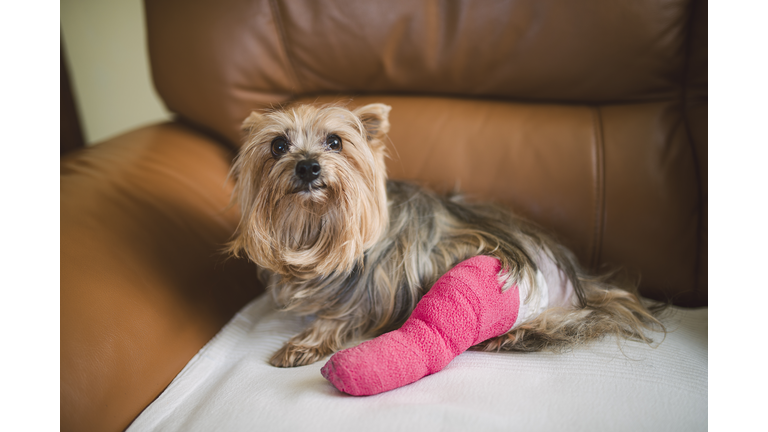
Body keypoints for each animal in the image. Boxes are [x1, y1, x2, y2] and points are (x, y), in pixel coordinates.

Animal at [228, 102, 664, 368]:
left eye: (334, 141)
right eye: (277, 145)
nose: (307, 166)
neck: (314, 224)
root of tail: (581, 281)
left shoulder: (377, 287)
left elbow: (342, 315)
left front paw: (303, 343)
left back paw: (511, 336)